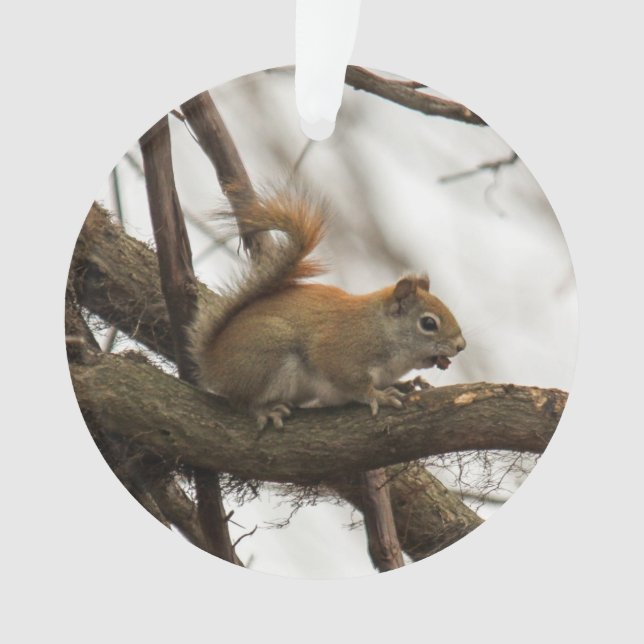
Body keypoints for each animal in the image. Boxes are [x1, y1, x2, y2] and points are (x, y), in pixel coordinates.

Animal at [188, 188, 466, 430]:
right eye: (428, 323)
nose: (461, 346)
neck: (381, 331)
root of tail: (212, 363)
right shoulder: (340, 353)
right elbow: (353, 383)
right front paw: (378, 396)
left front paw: (408, 384)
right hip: (266, 353)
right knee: (240, 400)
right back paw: (265, 409)